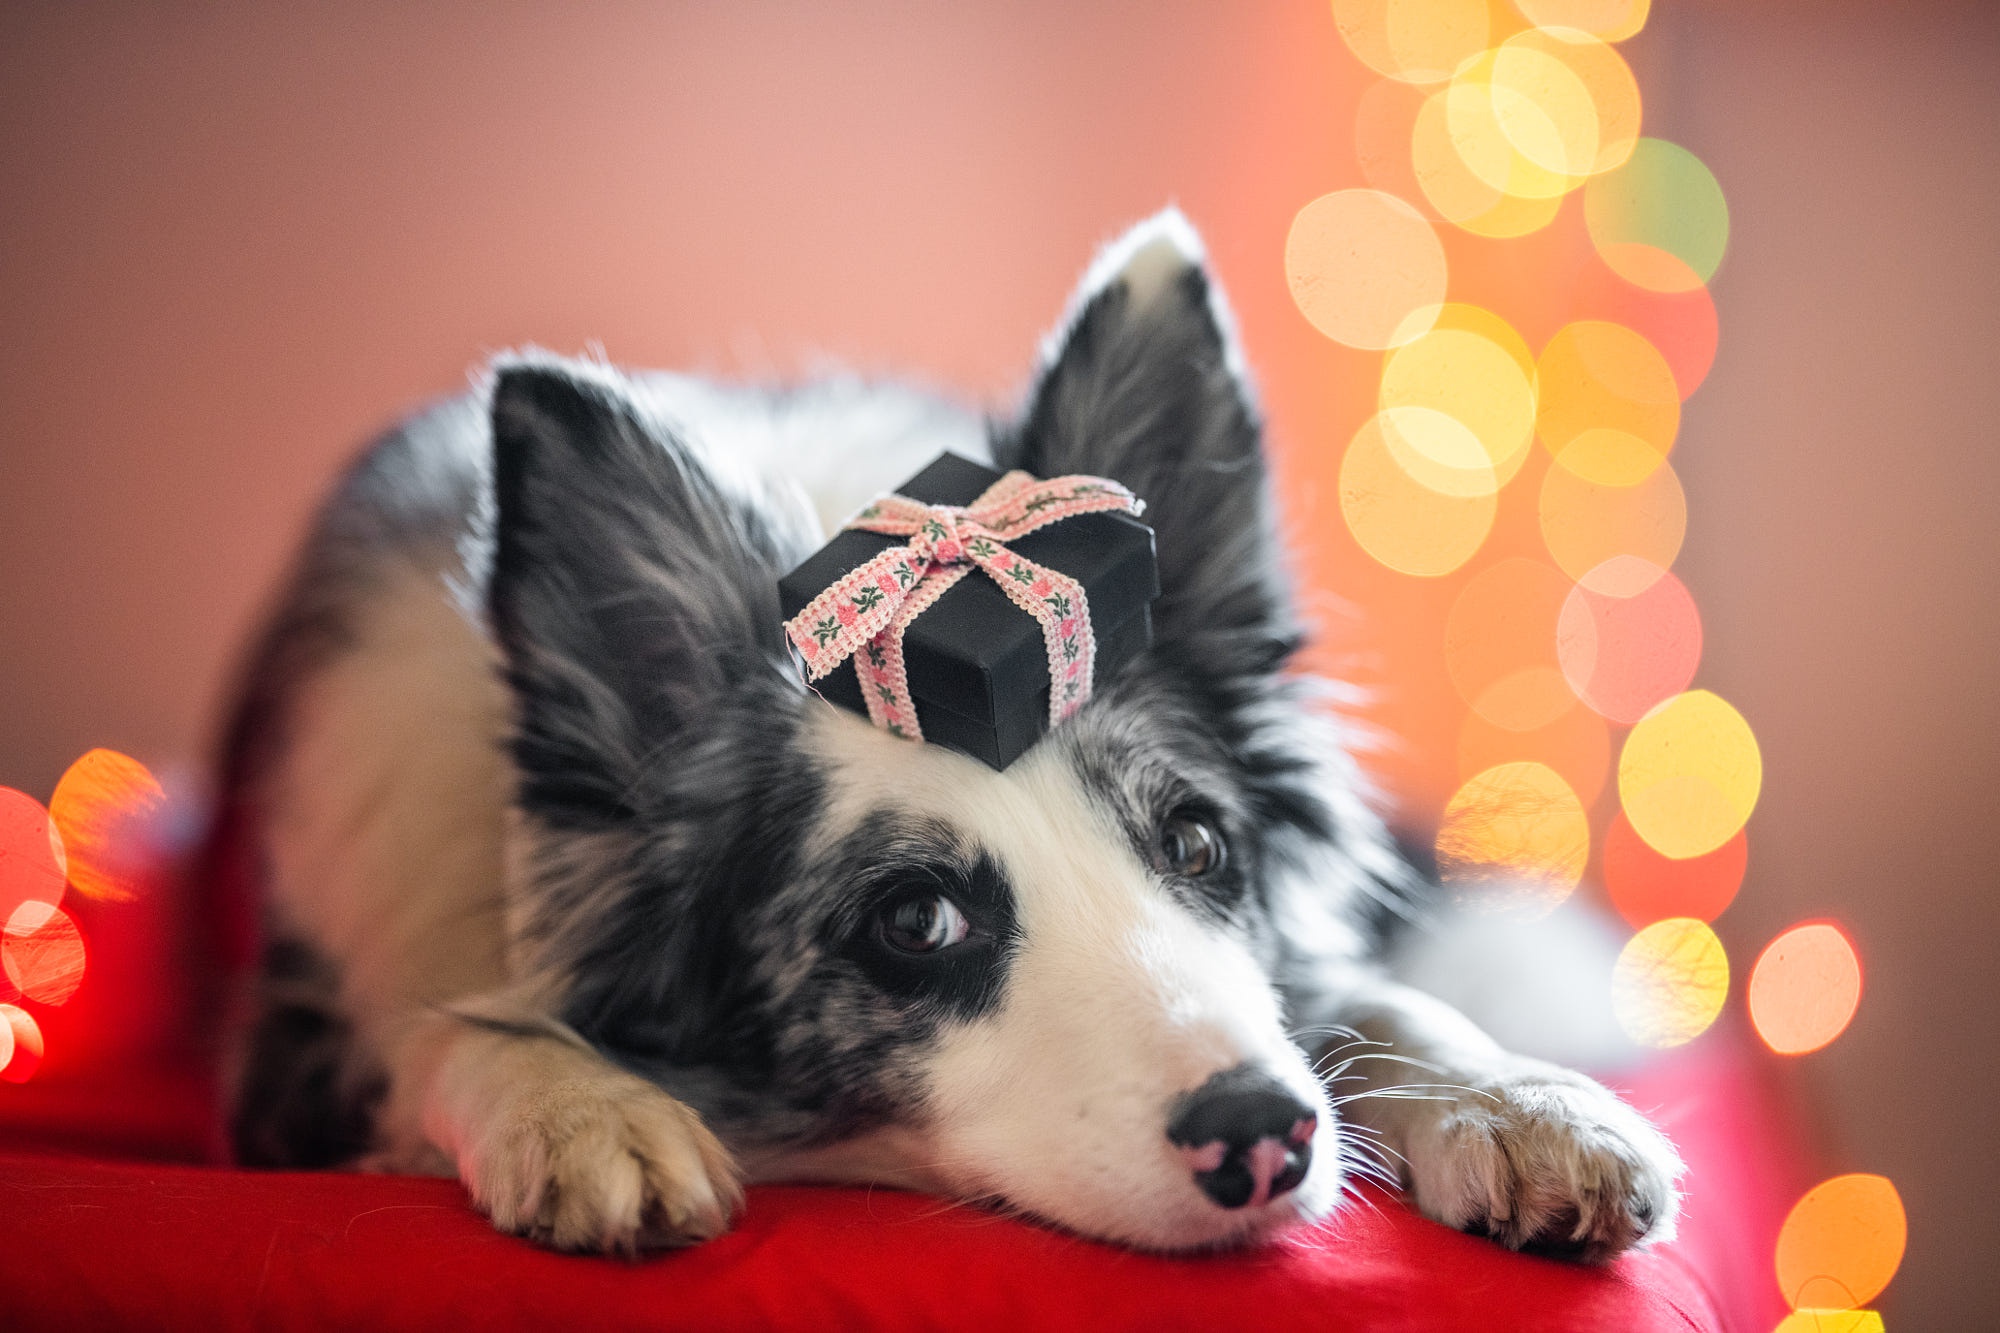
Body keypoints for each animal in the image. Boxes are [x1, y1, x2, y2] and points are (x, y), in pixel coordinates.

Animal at [215, 210, 1688, 1256]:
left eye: (1198, 846)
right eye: (915, 921)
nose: (1263, 1135)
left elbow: (1365, 994)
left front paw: (1518, 1101)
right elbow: (434, 1031)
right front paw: (578, 1107)